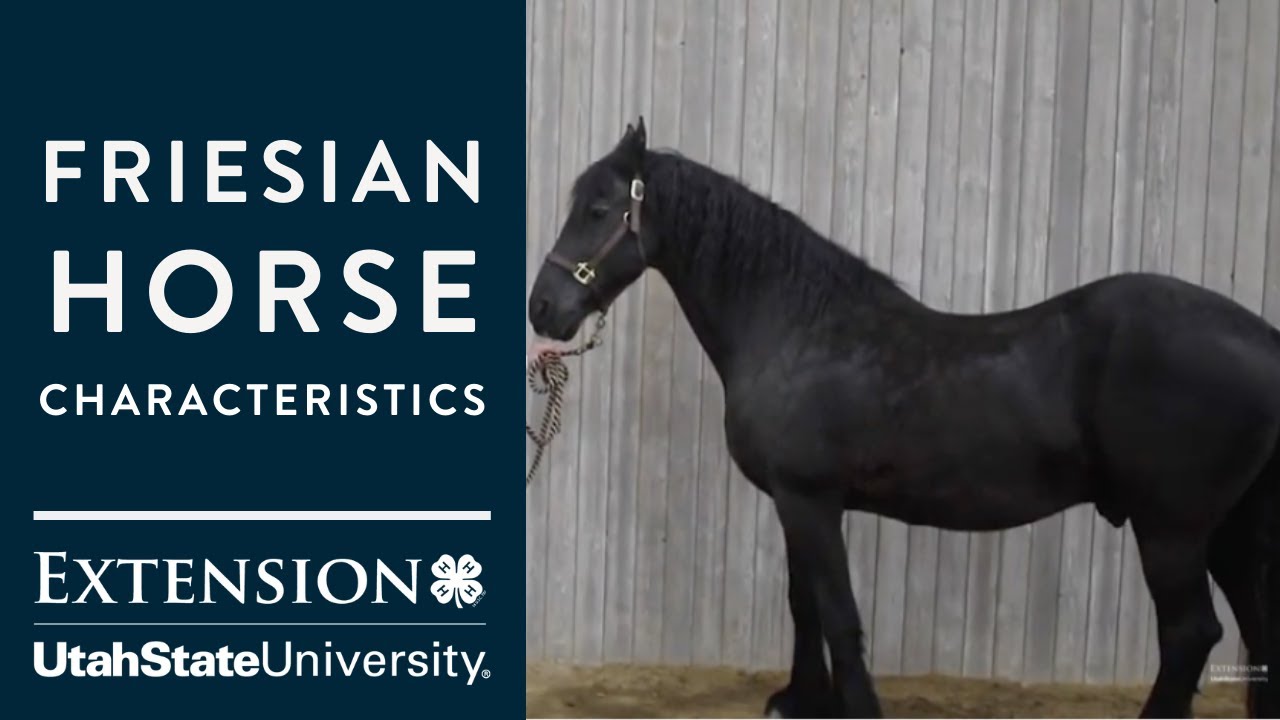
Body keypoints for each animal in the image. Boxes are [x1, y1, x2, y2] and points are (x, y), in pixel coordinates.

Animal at [527, 117, 1278, 719]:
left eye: (598, 208)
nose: (542, 308)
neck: (797, 326)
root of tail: (1264, 339)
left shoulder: (809, 499)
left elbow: (835, 613)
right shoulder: (798, 503)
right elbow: (805, 605)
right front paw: (801, 700)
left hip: (1172, 529)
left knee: (1189, 635)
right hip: (1230, 530)